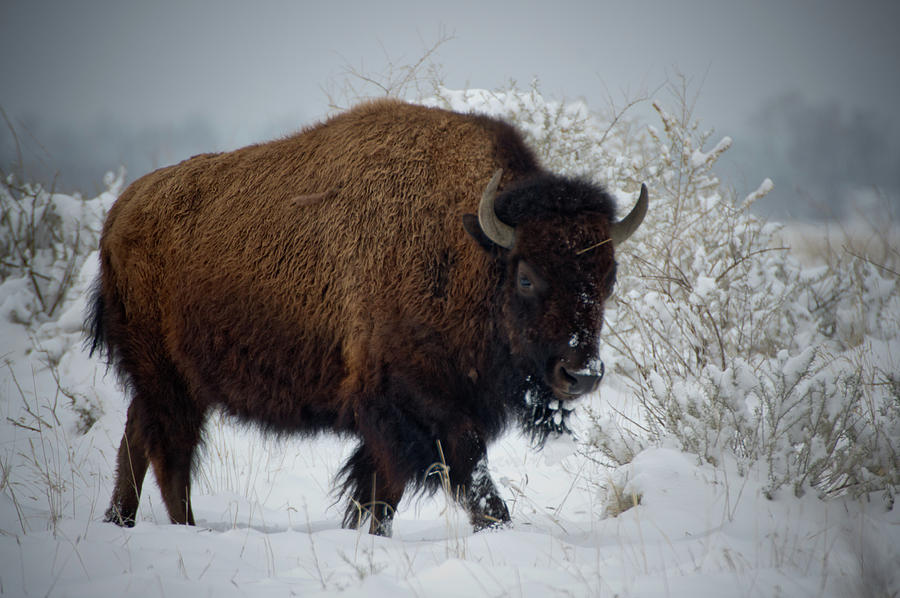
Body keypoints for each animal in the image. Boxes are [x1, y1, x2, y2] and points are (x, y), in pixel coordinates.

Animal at [89, 99, 648, 540]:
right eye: (527, 277)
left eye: (609, 276)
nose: (581, 374)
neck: (469, 247)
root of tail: (119, 214)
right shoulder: (418, 406)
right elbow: (468, 480)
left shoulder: (408, 417)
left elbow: (382, 493)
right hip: (168, 379)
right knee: (170, 452)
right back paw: (184, 529)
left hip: (169, 383)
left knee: (138, 437)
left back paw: (120, 521)